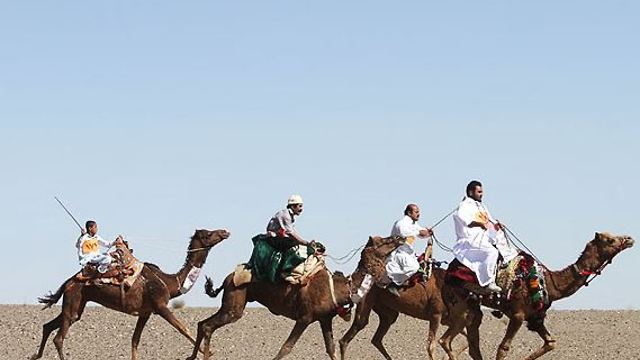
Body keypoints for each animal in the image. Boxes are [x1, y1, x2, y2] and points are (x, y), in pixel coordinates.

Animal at [30, 229, 230, 360]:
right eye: (207, 234)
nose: (225, 231)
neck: (171, 282)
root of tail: (69, 282)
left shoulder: (145, 312)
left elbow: (135, 340)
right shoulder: (160, 306)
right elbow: (182, 327)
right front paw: (209, 352)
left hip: (77, 304)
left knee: (49, 326)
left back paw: (35, 355)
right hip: (74, 299)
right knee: (59, 338)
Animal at [185, 235, 404, 358]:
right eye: (384, 240)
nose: (399, 239)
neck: (341, 288)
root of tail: (228, 278)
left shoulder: (324, 318)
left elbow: (330, 348)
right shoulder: (305, 317)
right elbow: (286, 348)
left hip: (231, 303)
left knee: (203, 324)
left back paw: (192, 357)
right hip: (235, 302)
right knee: (208, 325)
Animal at [440, 232, 636, 358]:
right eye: (610, 240)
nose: (629, 239)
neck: (550, 283)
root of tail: (448, 274)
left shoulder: (535, 317)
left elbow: (551, 342)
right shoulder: (518, 315)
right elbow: (503, 348)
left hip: (472, 306)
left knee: (471, 342)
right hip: (459, 306)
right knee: (445, 340)